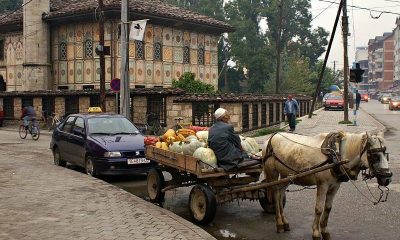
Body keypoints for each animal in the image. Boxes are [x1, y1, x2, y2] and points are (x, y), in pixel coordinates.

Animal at [262, 131, 390, 240]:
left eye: (385, 154)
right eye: (375, 155)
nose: (387, 178)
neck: (336, 155)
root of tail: (270, 138)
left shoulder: (335, 186)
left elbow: (328, 208)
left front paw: (325, 231)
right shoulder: (322, 185)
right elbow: (319, 209)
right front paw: (316, 232)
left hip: (286, 176)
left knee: (280, 194)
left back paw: (285, 222)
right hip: (273, 174)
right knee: (275, 195)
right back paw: (279, 223)